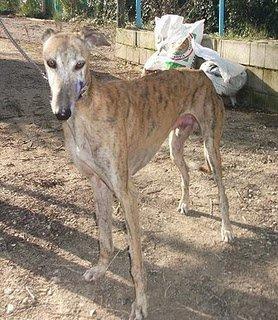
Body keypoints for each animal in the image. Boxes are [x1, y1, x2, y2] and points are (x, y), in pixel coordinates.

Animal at [42, 28, 233, 320]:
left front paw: (140, 303)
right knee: (186, 173)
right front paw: (101, 269)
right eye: (51, 63)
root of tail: (200, 73)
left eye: (80, 64)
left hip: (211, 147)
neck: (87, 111)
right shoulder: (98, 184)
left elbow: (137, 262)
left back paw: (226, 229)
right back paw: (185, 203)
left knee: (222, 191)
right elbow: (105, 238)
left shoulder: (126, 193)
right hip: (174, 145)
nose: (62, 113)